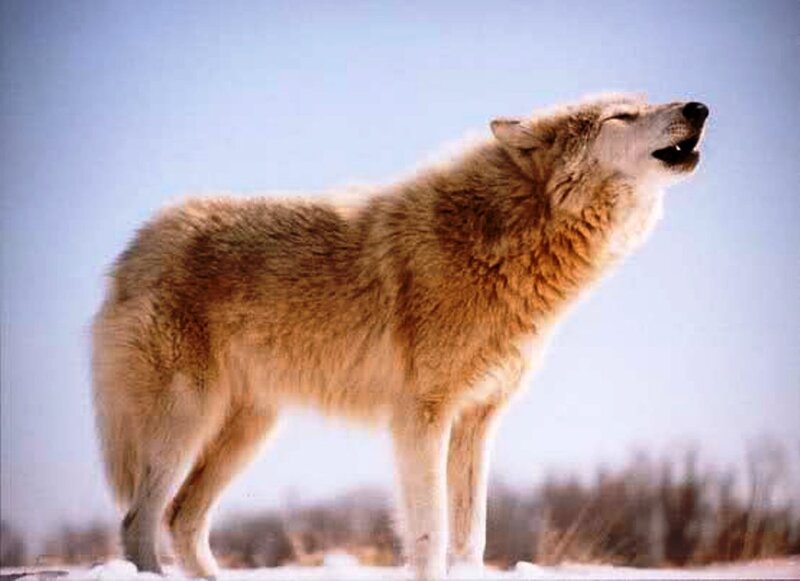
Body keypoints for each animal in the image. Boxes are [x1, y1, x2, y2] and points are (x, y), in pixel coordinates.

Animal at [92, 94, 709, 579]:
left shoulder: (476, 420)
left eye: (644, 101)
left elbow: (471, 536)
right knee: (139, 520)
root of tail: (137, 243)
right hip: (186, 421)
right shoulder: (421, 416)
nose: (699, 107)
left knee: (181, 518)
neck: (503, 237)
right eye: (621, 115)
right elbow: (430, 533)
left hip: (248, 429)